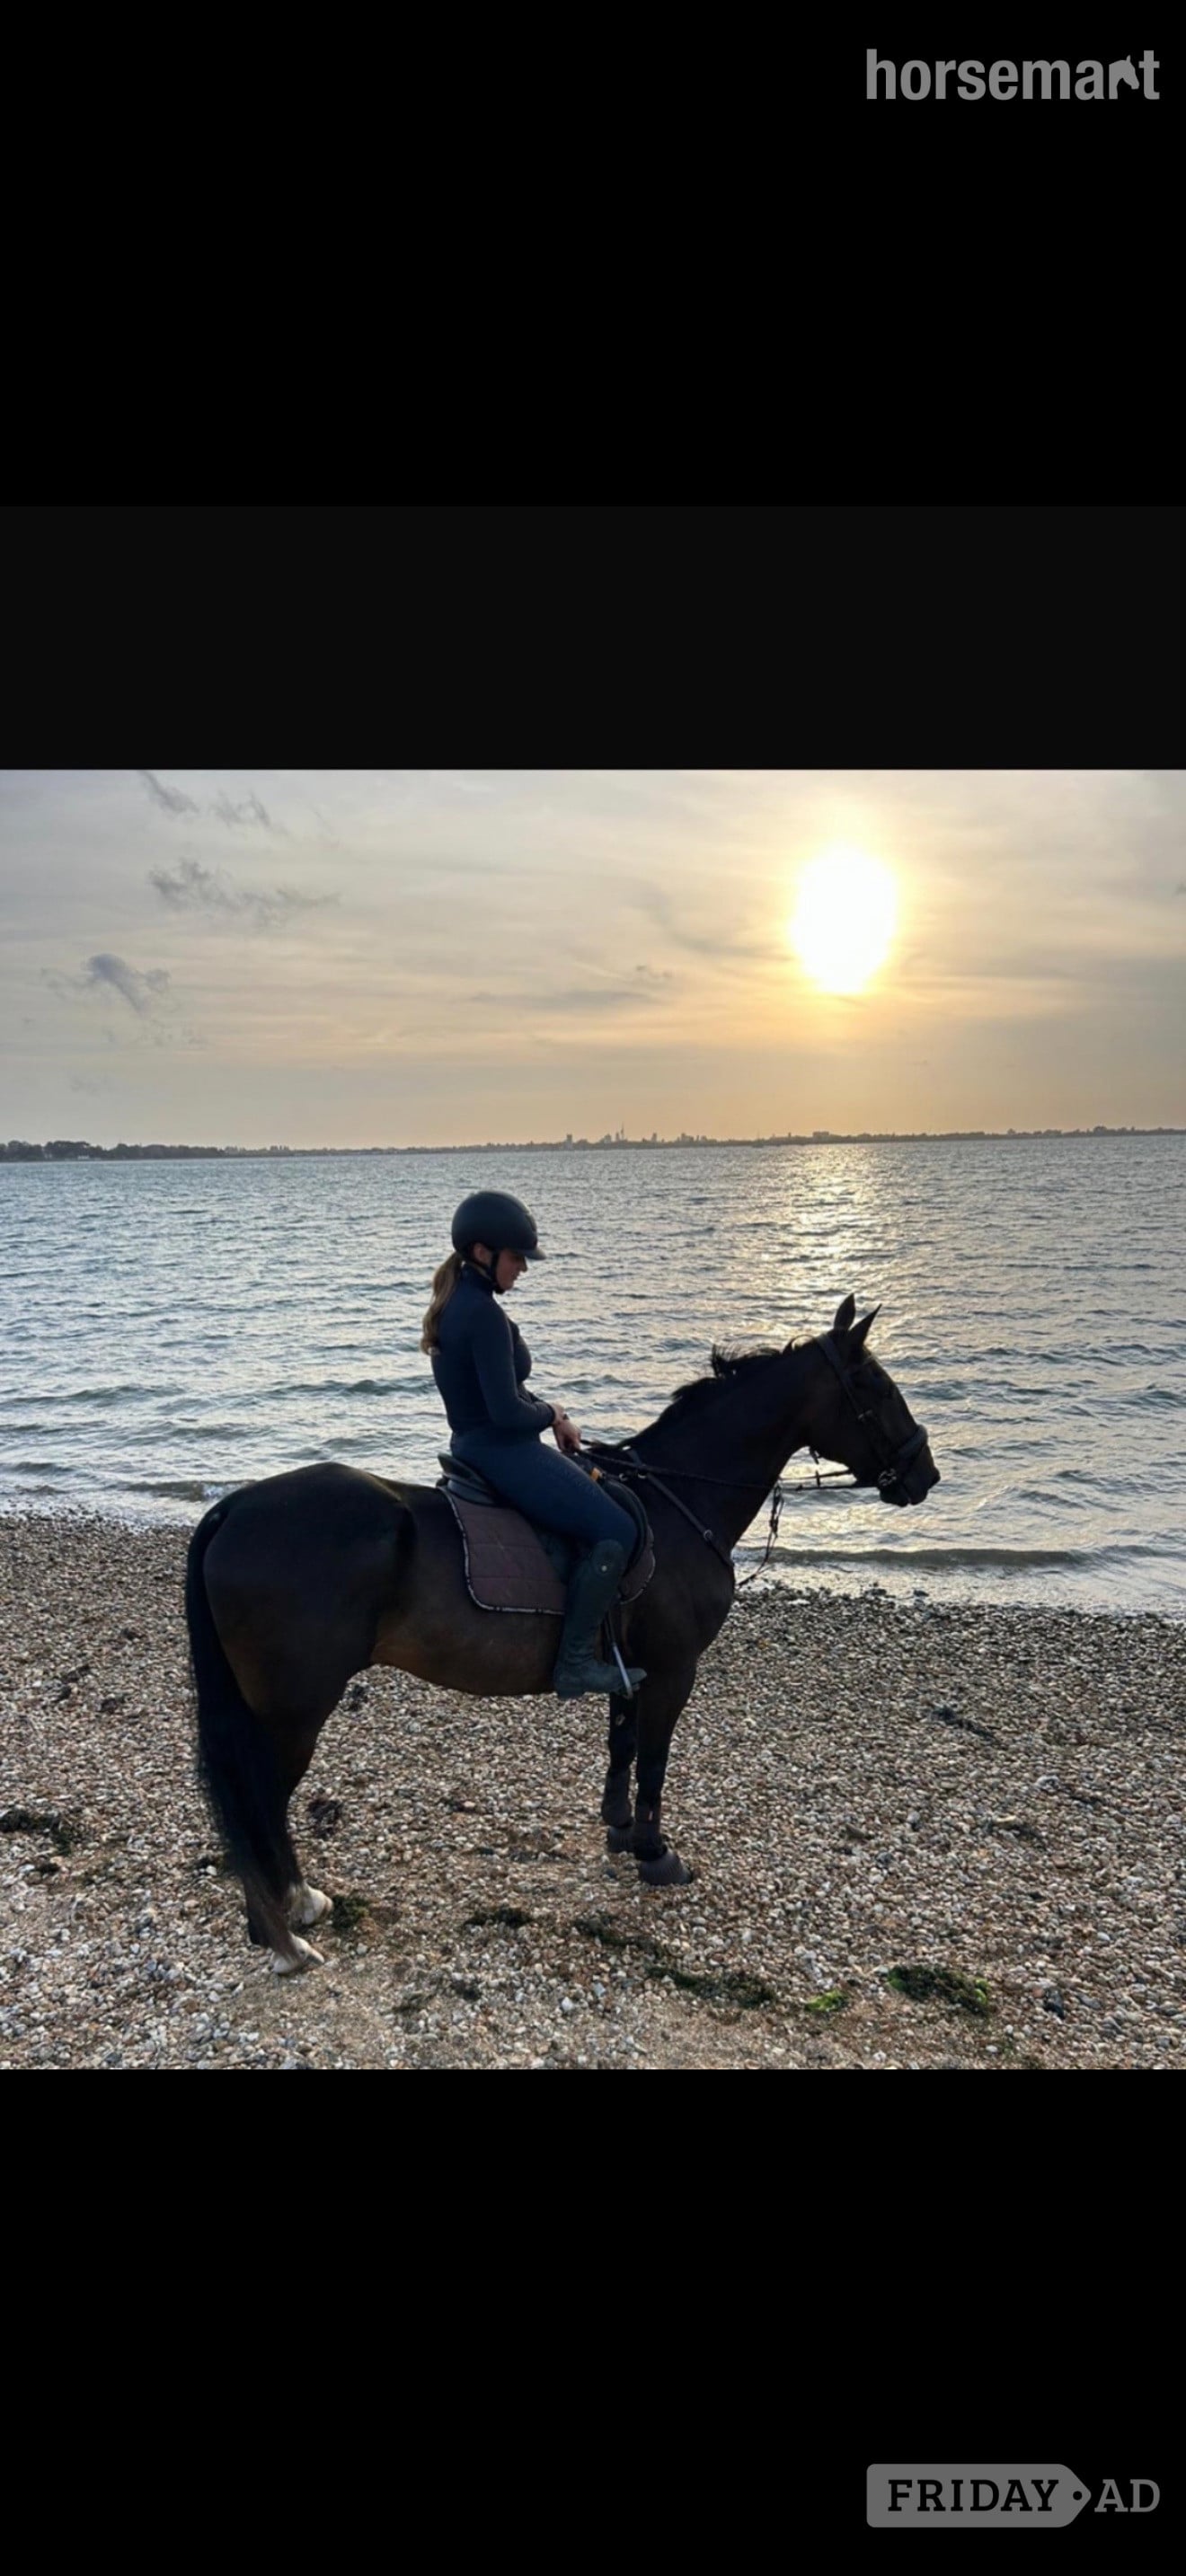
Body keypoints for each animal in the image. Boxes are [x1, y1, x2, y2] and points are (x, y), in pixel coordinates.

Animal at [185, 1294, 939, 1970]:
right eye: (874, 1385)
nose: (925, 1474)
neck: (680, 1501)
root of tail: (233, 1510)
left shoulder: (630, 1666)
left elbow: (622, 1746)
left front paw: (619, 1830)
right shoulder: (674, 1670)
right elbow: (655, 1759)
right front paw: (656, 1854)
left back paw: (290, 1911)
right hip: (294, 1709)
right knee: (258, 1800)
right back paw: (284, 1934)